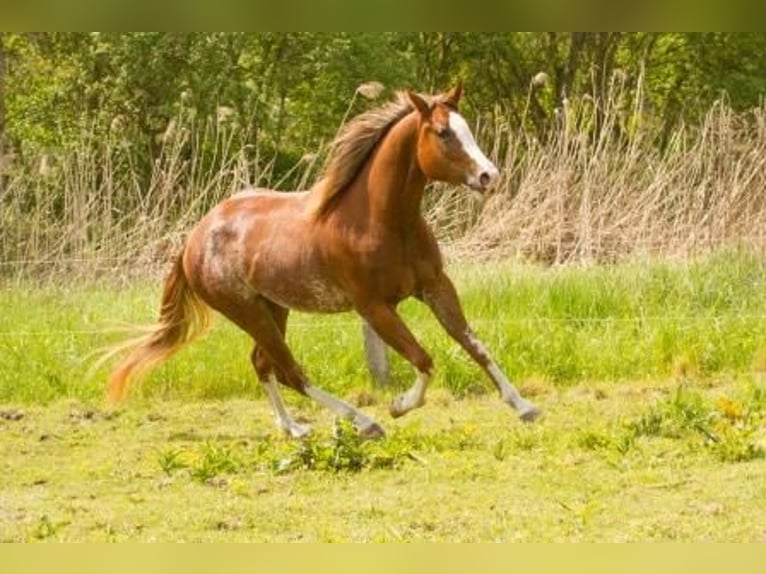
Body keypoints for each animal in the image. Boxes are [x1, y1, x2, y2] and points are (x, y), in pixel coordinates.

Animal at [108, 84, 540, 438]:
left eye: (466, 128)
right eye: (443, 133)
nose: (489, 177)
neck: (381, 220)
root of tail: (193, 239)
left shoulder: (434, 286)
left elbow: (473, 343)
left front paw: (524, 407)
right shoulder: (374, 307)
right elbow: (424, 359)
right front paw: (398, 406)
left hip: (273, 308)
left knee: (262, 364)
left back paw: (294, 429)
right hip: (247, 312)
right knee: (290, 371)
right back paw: (365, 424)